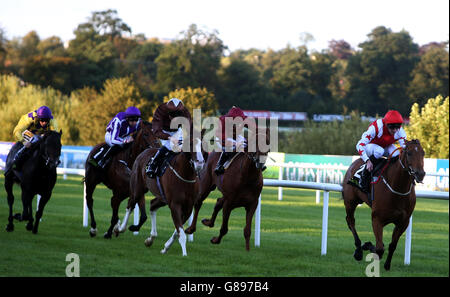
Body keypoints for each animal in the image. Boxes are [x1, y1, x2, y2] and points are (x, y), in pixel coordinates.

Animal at [342, 140, 424, 270]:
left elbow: (392, 245)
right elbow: (380, 248)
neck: (397, 189)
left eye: (423, 153)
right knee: (351, 221)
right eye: (409, 153)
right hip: (350, 202)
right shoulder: (377, 219)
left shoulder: (403, 222)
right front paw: (369, 247)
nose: (420, 174)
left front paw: (387, 264)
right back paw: (359, 250)